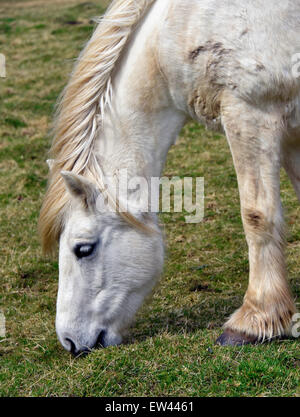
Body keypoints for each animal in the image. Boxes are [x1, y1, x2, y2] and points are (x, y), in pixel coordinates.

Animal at [39, 0, 300, 352]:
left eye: (83, 249)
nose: (69, 341)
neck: (184, 24)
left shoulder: (250, 113)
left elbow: (257, 216)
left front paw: (255, 320)